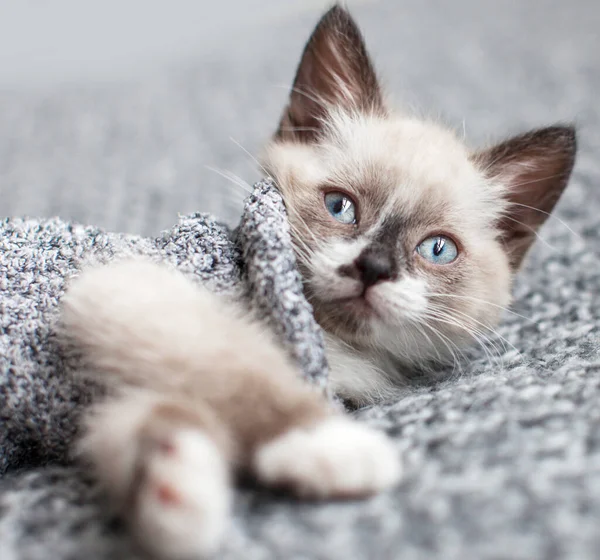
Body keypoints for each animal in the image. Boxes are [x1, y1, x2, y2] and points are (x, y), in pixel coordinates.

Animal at [61, 4, 576, 560]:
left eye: (437, 249)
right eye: (340, 207)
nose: (373, 269)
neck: (337, 347)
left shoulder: (117, 382)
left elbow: (158, 421)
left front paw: (178, 499)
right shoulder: (124, 287)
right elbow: (244, 371)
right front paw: (332, 445)